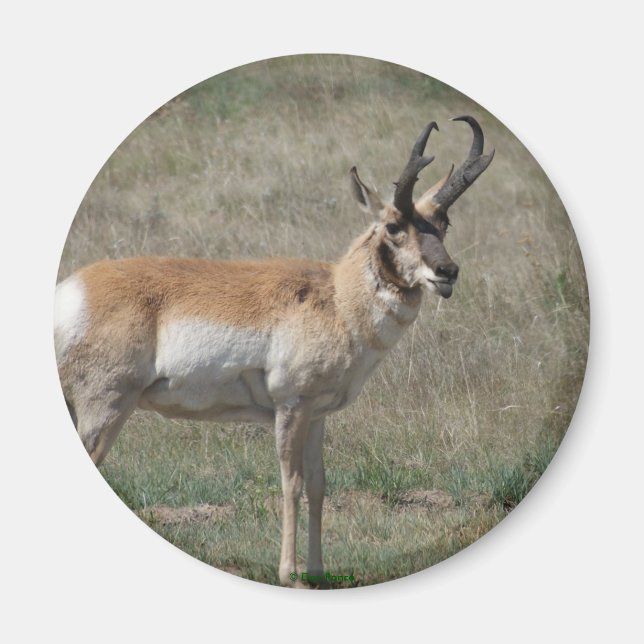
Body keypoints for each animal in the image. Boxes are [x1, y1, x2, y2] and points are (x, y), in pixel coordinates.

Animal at [54, 116, 493, 587]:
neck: (337, 297)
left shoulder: (318, 415)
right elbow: (292, 483)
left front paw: (317, 571)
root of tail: (71, 291)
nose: (447, 272)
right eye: (394, 225)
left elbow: (319, 485)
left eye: (444, 223)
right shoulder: (291, 408)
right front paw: (289, 574)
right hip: (106, 408)